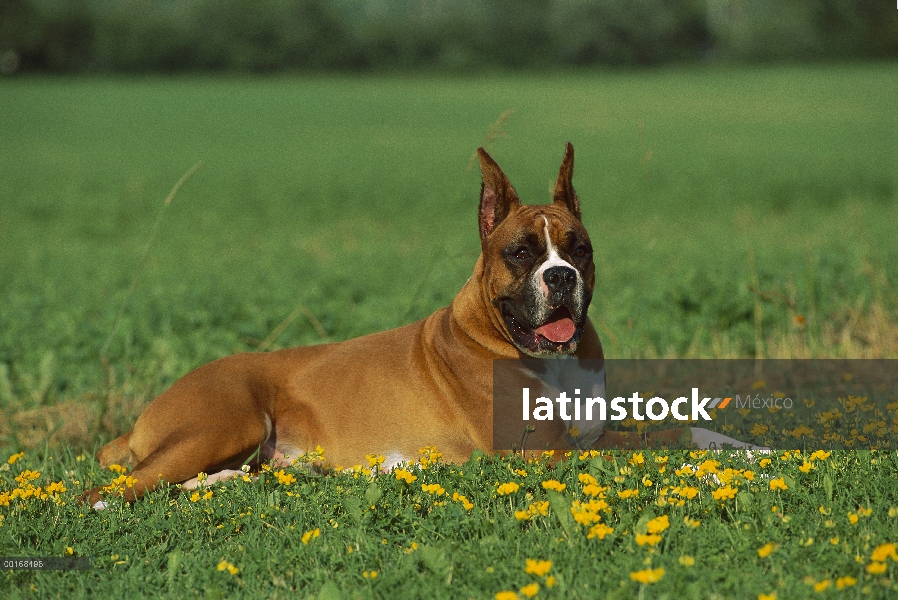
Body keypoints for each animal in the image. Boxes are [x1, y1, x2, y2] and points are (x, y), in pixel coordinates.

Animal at [82, 143, 744, 508]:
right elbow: (653, 445)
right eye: (521, 253)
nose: (560, 277)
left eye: (578, 248)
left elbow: (679, 430)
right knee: (109, 492)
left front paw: (746, 447)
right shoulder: (544, 451)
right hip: (224, 420)